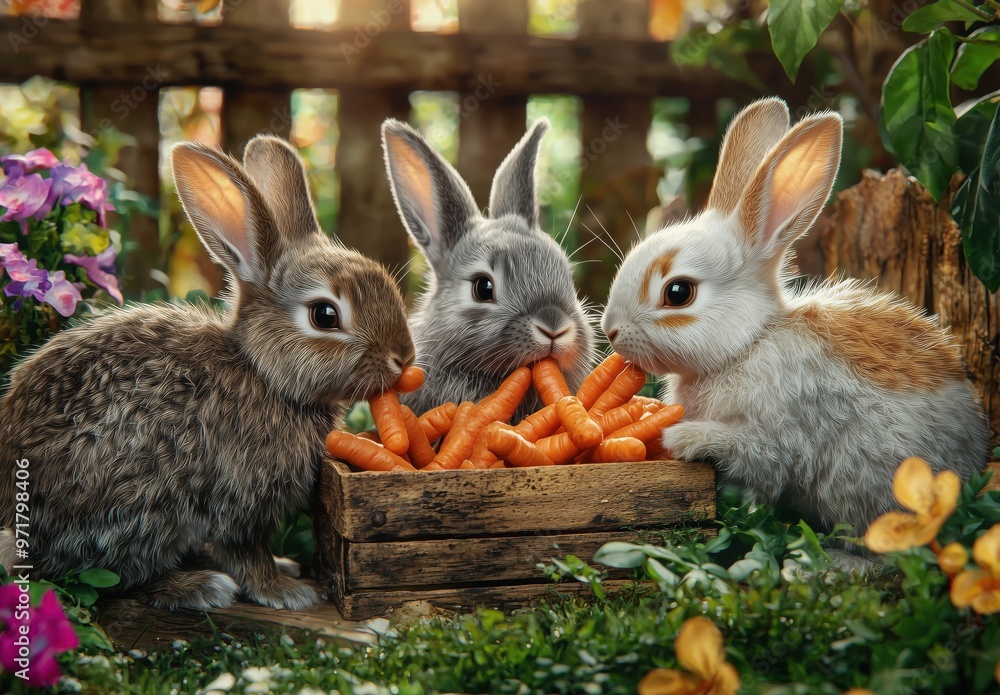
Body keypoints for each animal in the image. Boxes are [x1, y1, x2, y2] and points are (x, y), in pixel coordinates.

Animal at [0, 135, 414, 611]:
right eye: (325, 315)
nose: (403, 357)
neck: (263, 372)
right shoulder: (238, 498)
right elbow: (246, 551)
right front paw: (287, 591)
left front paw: (287, 572)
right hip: (139, 506)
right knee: (116, 576)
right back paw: (199, 586)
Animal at [601, 97, 990, 540]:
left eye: (678, 293)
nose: (611, 331)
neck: (750, 342)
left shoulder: (783, 431)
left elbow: (756, 453)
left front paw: (683, 438)